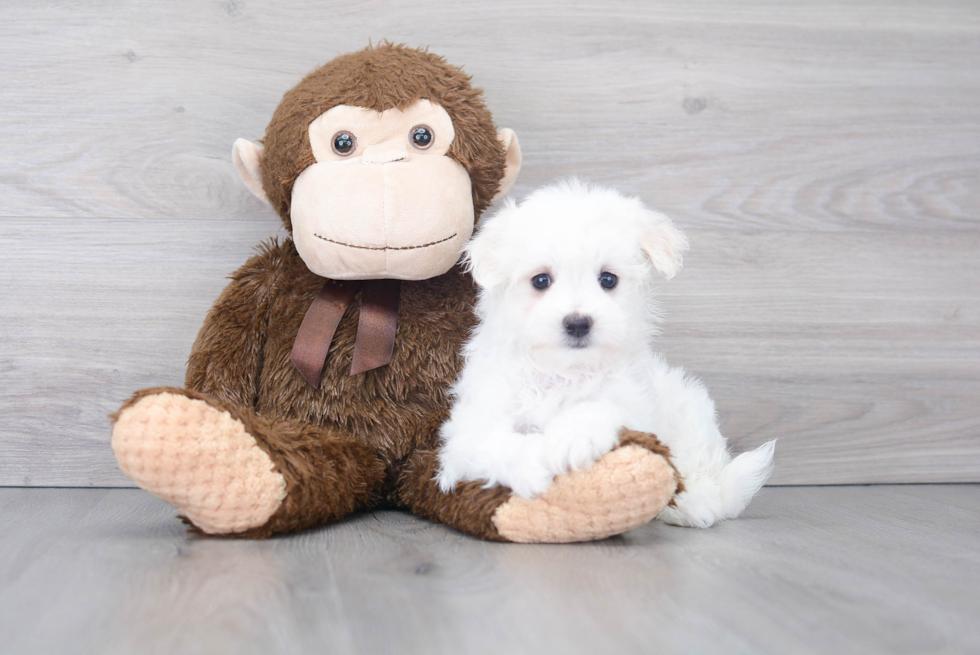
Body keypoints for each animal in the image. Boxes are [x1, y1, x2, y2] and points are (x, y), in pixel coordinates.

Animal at [436, 182, 772, 532]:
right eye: (541, 280)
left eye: (608, 279)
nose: (578, 322)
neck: (564, 370)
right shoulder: (470, 427)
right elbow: (493, 442)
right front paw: (533, 466)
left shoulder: (632, 399)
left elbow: (600, 407)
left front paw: (570, 440)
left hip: (690, 417)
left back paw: (693, 503)